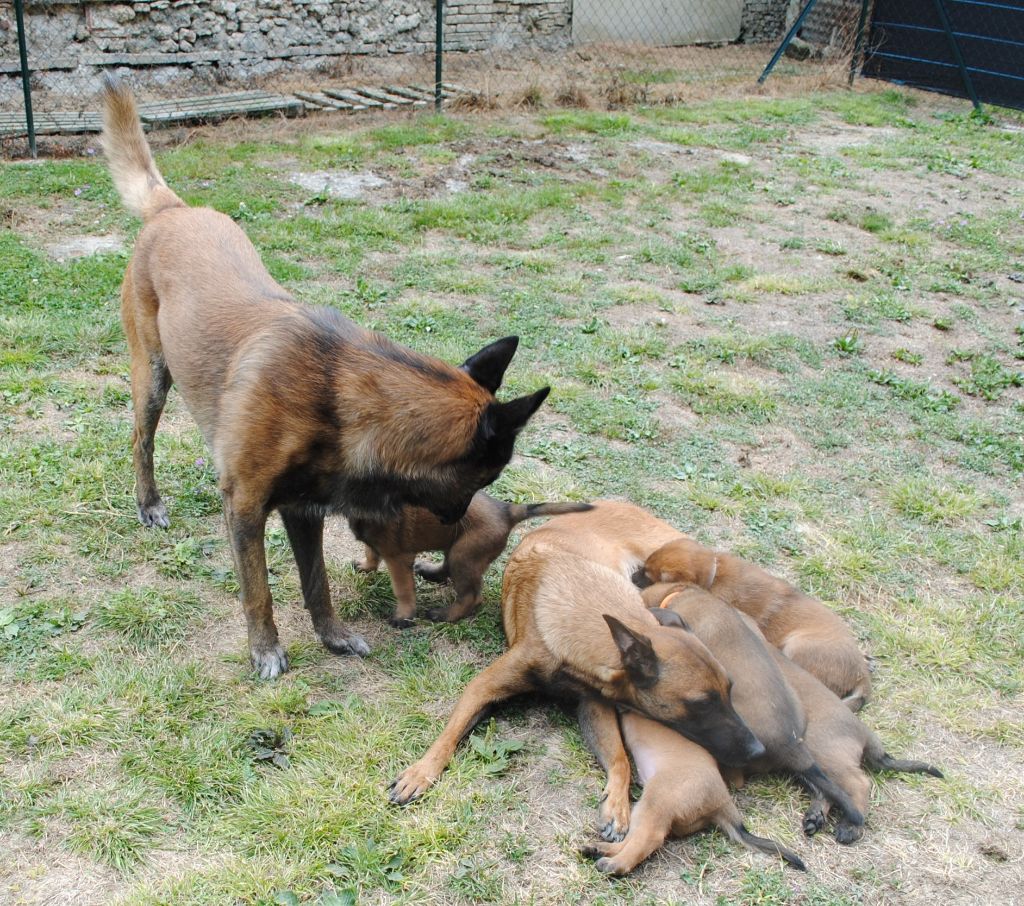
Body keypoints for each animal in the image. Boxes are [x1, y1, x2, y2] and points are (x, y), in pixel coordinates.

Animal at [102, 79, 548, 679]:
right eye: (488, 476)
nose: (460, 520)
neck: (336, 400)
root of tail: (173, 210)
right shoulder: (245, 510)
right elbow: (259, 590)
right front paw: (265, 649)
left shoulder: (303, 510)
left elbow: (317, 583)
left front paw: (333, 635)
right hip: (152, 378)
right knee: (140, 440)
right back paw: (148, 503)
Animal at [350, 495, 593, 630]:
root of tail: (507, 510)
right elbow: (371, 553)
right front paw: (365, 566)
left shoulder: (399, 557)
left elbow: (403, 589)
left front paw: (404, 616)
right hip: (456, 546)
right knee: (447, 568)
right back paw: (430, 572)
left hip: (464, 555)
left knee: (471, 596)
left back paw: (445, 615)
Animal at [387, 532, 765, 802]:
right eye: (701, 704)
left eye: (730, 691)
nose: (757, 750)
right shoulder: (483, 687)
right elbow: (448, 736)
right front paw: (421, 772)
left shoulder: (594, 706)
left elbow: (619, 759)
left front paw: (617, 808)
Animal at [581, 708, 802, 876]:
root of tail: (723, 802)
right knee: (632, 838)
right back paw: (599, 849)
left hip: (657, 797)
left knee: (648, 838)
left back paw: (614, 865)